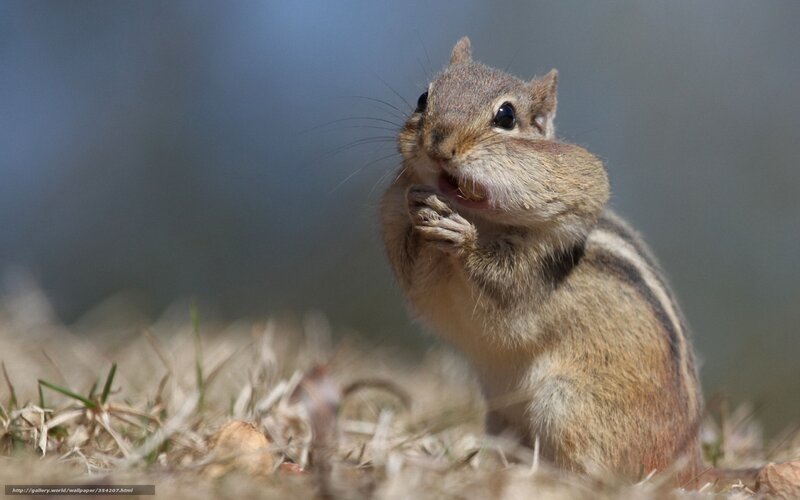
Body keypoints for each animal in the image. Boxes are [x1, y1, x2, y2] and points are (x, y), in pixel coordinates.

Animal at [380, 37, 706, 483]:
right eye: (423, 98)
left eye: (506, 116)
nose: (439, 144)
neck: (485, 218)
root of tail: (689, 467)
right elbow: (418, 276)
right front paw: (421, 213)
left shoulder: (539, 267)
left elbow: (506, 288)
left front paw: (463, 239)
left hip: (566, 407)